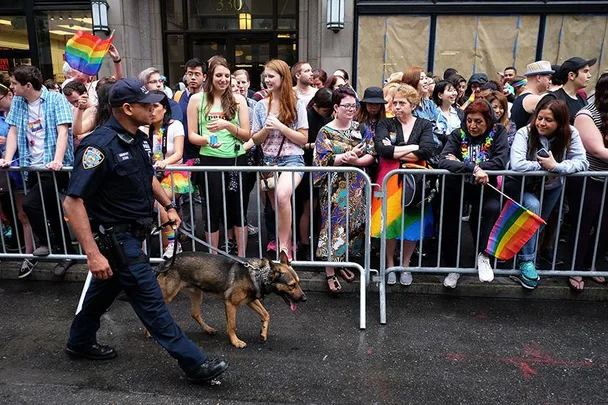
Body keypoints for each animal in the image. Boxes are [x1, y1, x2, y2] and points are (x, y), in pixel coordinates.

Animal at [154, 249, 306, 348]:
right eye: (292, 285)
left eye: (299, 282)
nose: (304, 299)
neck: (260, 274)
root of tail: (167, 262)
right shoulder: (231, 304)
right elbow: (232, 325)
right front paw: (235, 342)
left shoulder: (251, 300)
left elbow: (266, 314)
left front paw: (263, 332)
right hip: (167, 297)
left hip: (197, 294)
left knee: (195, 313)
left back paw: (208, 329)